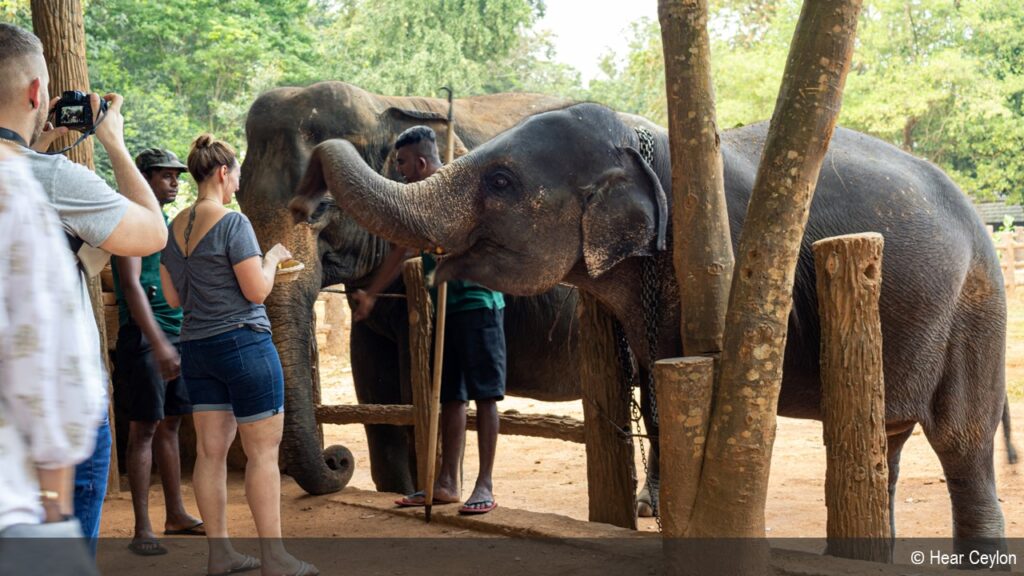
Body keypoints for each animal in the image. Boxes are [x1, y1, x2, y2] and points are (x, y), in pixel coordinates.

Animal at [290, 100, 1007, 549]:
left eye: (499, 182)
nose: (304, 200)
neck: (646, 141)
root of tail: (975, 212)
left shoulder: (726, 261)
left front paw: (662, 512)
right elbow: (658, 378)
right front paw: (652, 508)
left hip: (976, 304)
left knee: (962, 439)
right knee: (885, 435)